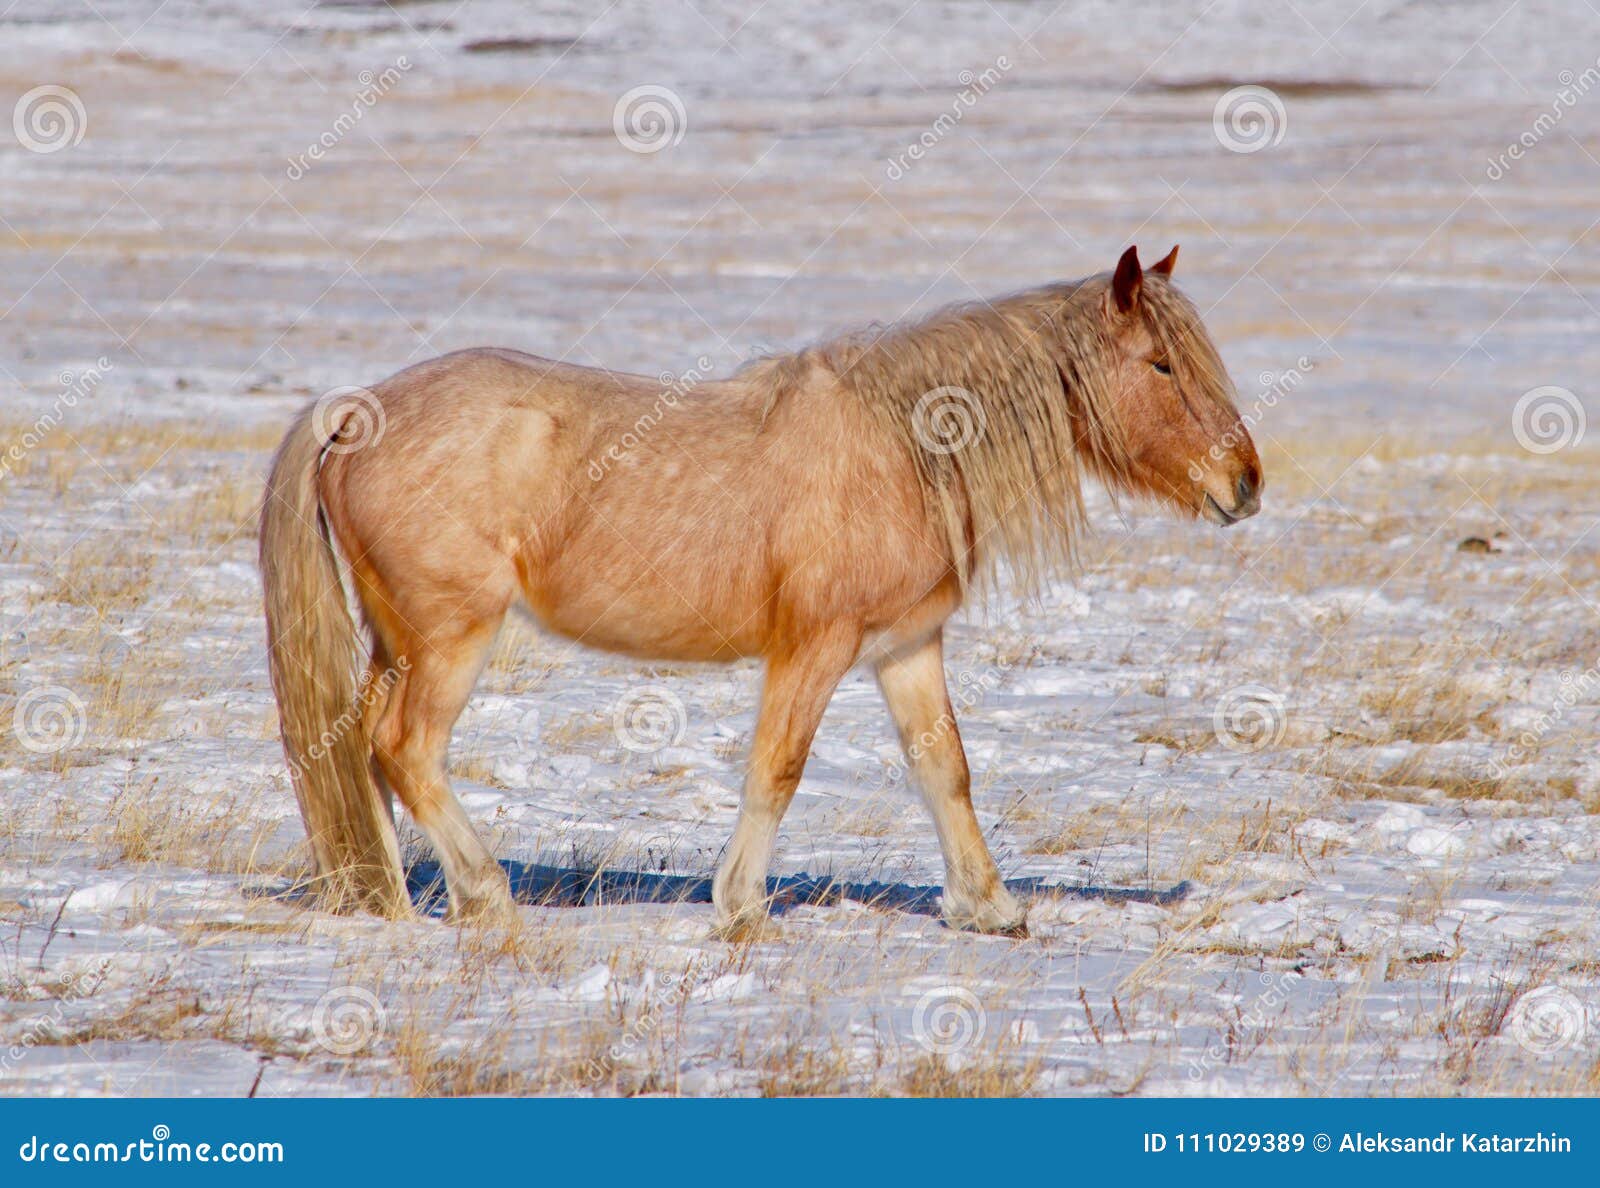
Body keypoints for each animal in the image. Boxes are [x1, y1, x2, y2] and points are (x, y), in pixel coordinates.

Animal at [259, 248, 1260, 941]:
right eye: (1162, 365)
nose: (1245, 482)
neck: (902, 445)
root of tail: (356, 412)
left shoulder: (905, 647)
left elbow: (946, 771)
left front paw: (990, 907)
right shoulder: (815, 648)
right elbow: (776, 771)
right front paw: (739, 906)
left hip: (399, 640)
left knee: (362, 750)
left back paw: (387, 891)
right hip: (452, 636)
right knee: (407, 748)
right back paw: (484, 895)